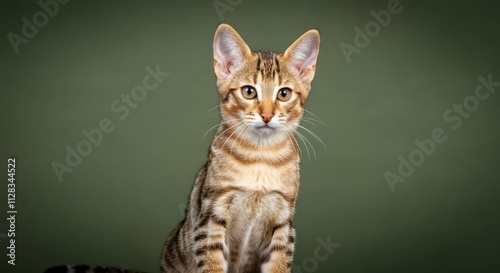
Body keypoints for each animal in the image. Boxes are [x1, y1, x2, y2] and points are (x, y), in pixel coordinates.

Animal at [46, 22, 320, 272]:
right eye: (249, 91)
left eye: (283, 94)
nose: (266, 115)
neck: (260, 158)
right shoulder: (210, 218)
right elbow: (212, 264)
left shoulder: (283, 224)